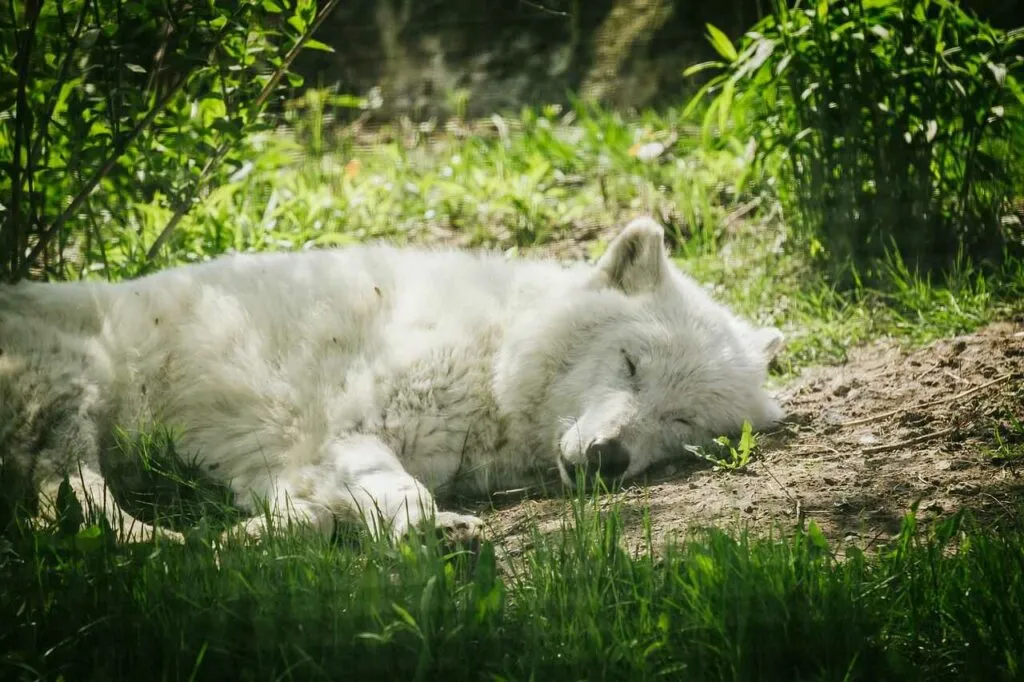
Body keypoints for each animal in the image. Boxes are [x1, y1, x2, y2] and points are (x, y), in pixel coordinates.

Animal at [0, 216, 782, 540]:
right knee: (71, 501)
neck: (490, 361)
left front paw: (257, 535)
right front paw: (433, 529)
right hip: (76, 384)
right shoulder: (349, 429)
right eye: (630, 363)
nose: (609, 456)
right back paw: (152, 543)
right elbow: (396, 488)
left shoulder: (286, 466)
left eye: (681, 420)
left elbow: (314, 514)